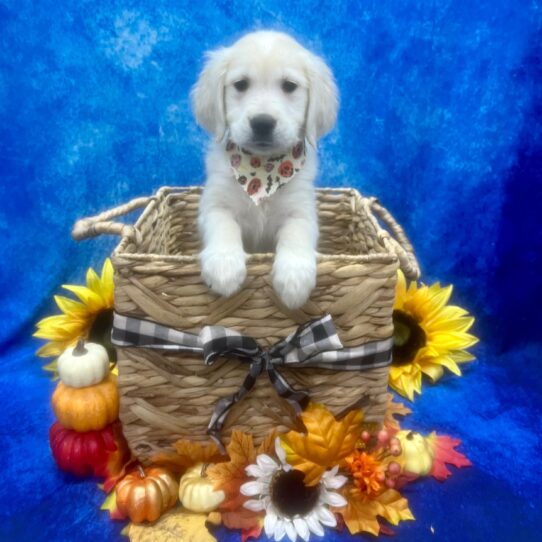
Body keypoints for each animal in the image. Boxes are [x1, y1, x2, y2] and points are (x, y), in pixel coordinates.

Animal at [190, 30, 336, 310]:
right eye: (241, 84)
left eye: (289, 86)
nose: (262, 123)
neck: (262, 169)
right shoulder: (214, 204)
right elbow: (223, 225)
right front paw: (224, 265)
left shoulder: (301, 211)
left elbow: (296, 234)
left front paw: (294, 278)